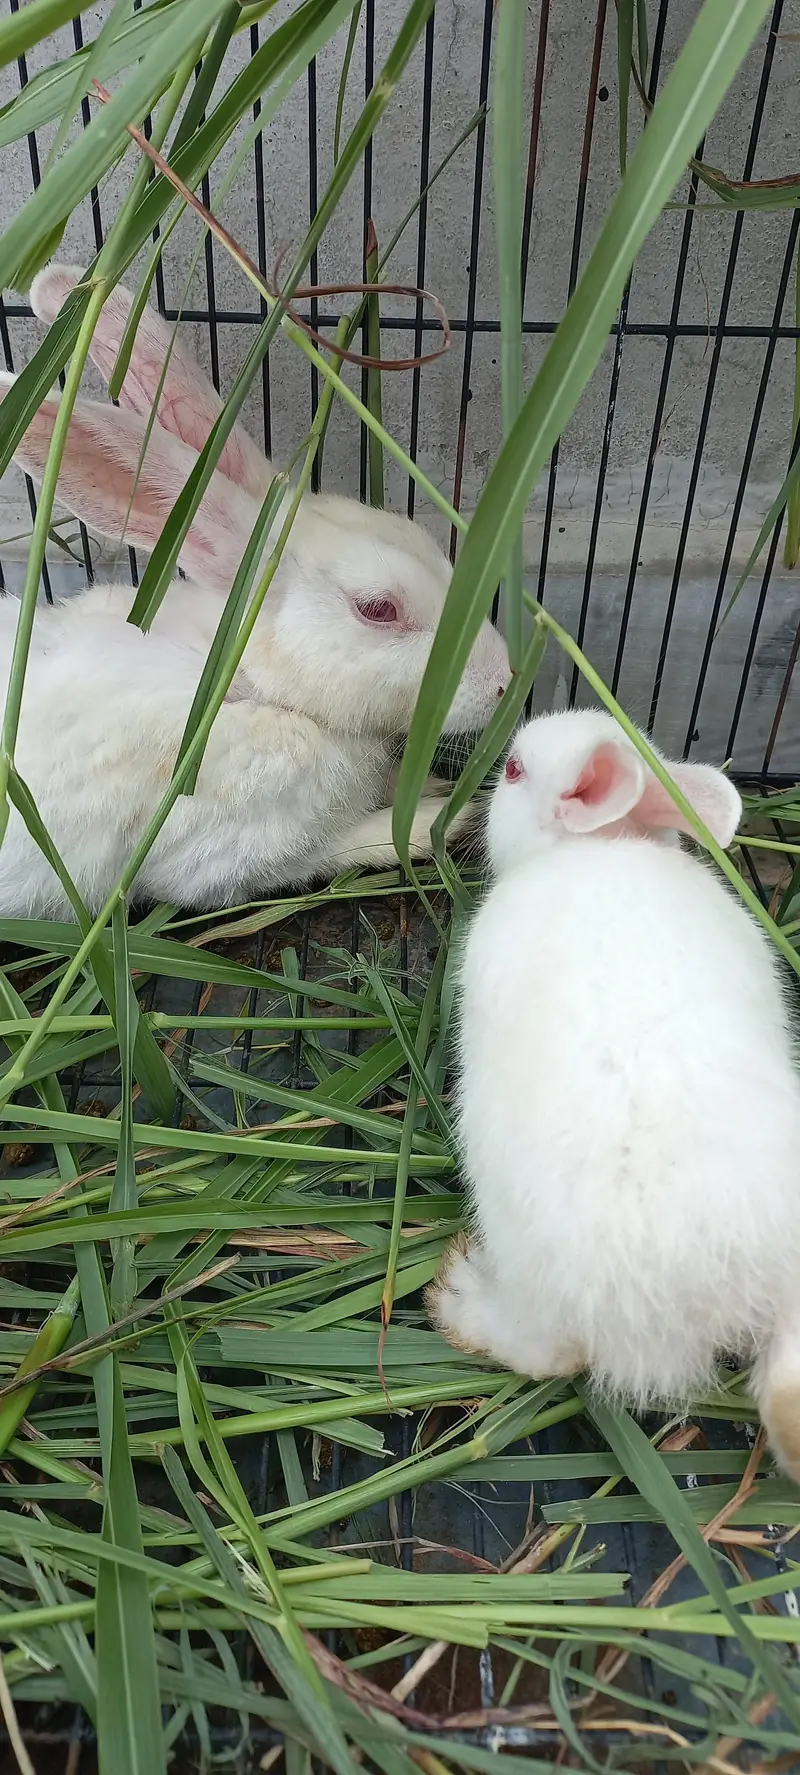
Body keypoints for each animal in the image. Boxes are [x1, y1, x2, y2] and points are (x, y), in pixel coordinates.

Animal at [0, 264, 510, 917]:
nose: (503, 681)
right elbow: (322, 854)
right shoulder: (220, 855)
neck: (243, 682)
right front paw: (434, 820)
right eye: (378, 609)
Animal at [426, 708, 800, 1483]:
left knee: (549, 1352)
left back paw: (458, 1299)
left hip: (530, 1258)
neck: (597, 846)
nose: (490, 772)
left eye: (515, 771)